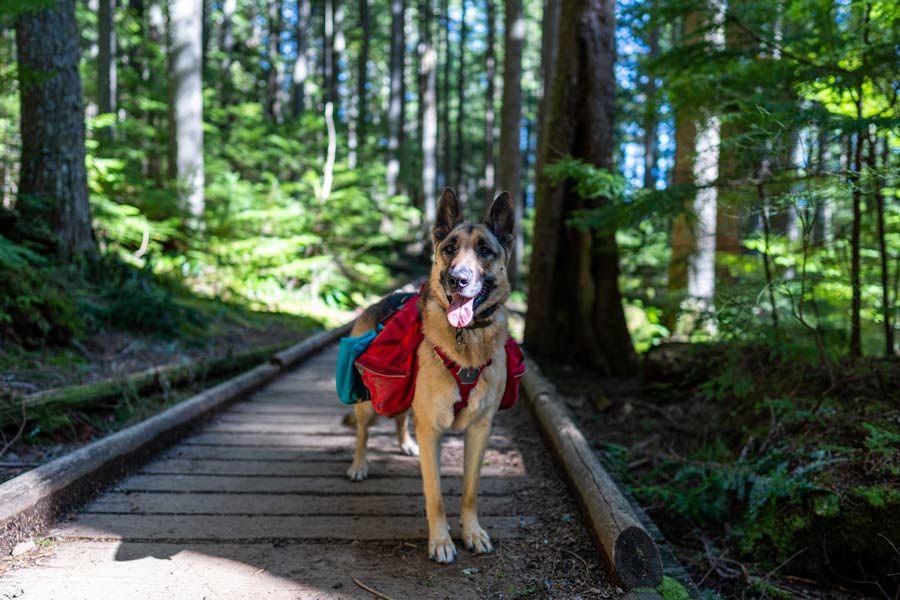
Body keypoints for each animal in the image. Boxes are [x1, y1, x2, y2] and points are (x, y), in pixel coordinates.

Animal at [344, 188, 512, 564]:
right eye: (449, 248)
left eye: (485, 250)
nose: (457, 280)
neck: (465, 339)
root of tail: (382, 299)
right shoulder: (432, 430)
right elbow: (434, 495)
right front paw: (441, 541)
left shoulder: (480, 429)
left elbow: (470, 492)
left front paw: (471, 532)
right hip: (369, 403)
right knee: (363, 431)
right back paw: (359, 465)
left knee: (400, 417)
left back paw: (405, 444)